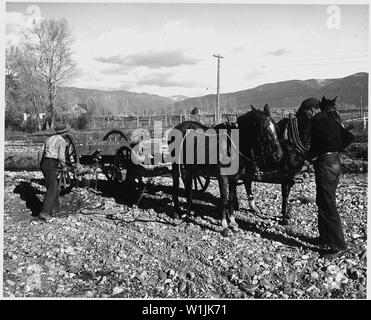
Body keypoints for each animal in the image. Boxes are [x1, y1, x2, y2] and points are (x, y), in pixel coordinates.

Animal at [170, 105, 284, 235]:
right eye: (264, 128)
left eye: (276, 127)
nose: (279, 155)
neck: (232, 146)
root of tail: (177, 127)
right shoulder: (222, 176)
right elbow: (224, 199)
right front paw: (224, 225)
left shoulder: (235, 177)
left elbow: (231, 198)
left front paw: (233, 221)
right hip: (176, 166)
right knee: (176, 185)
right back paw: (177, 211)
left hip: (189, 167)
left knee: (187, 183)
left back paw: (190, 209)